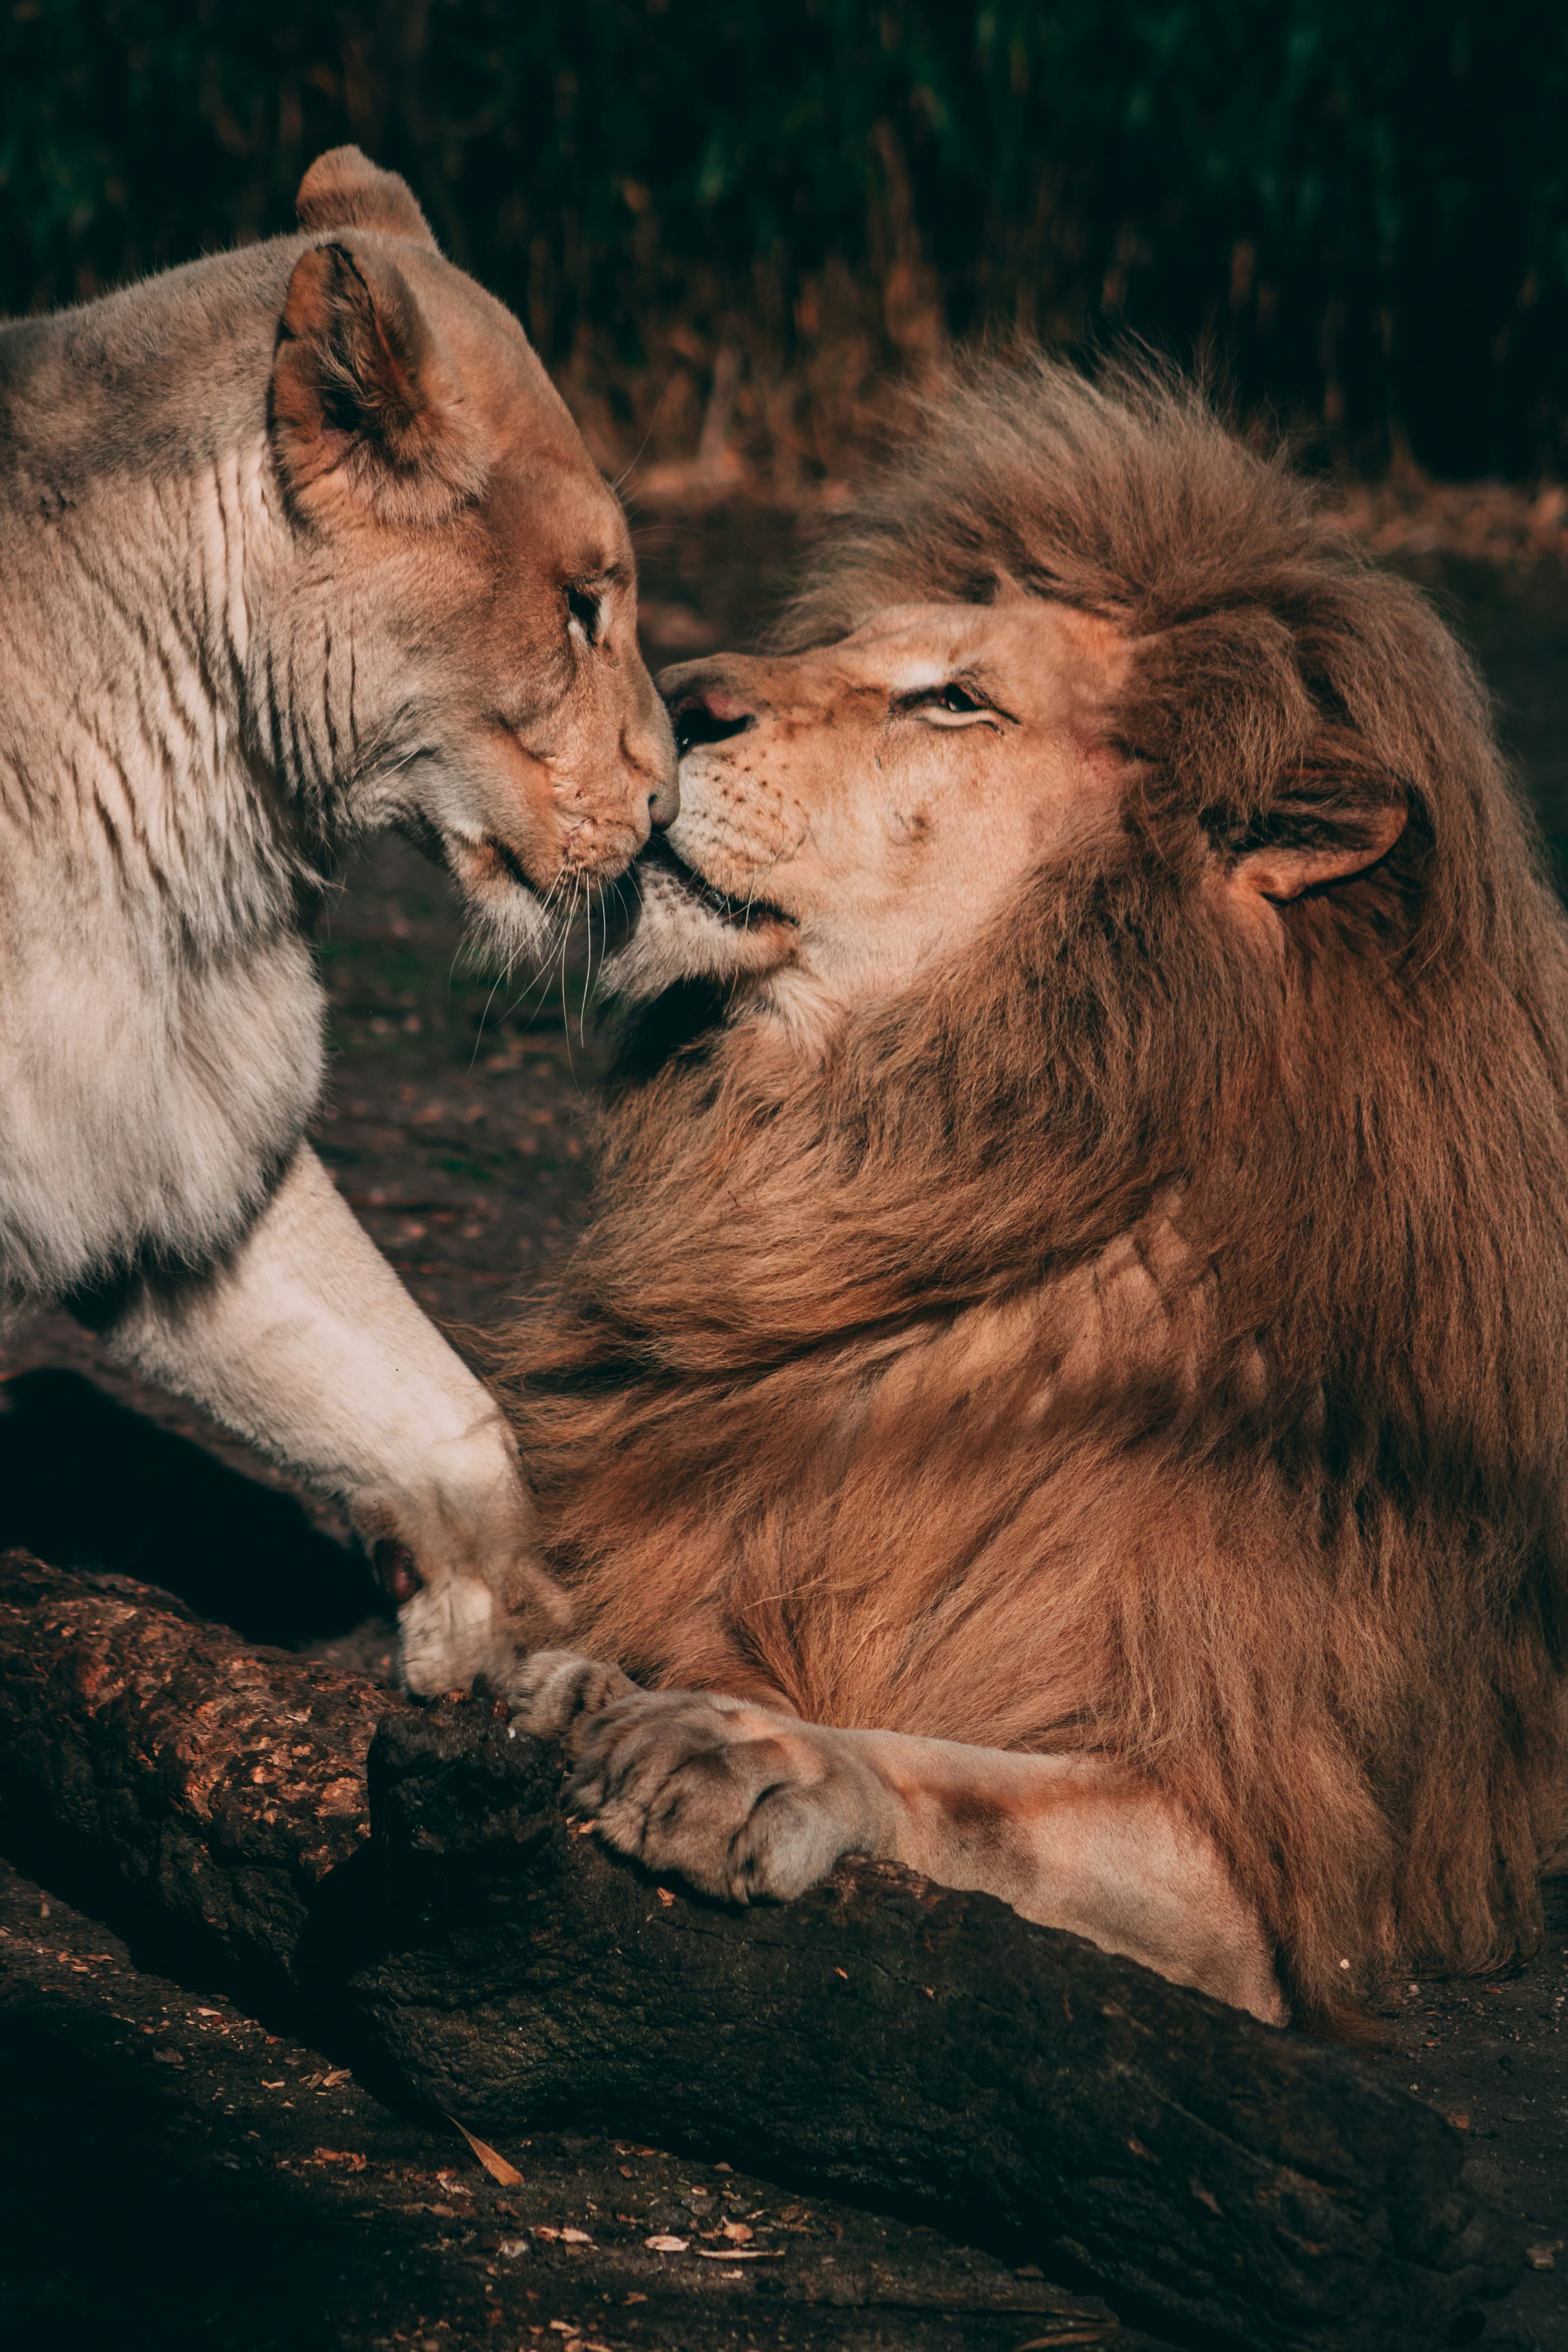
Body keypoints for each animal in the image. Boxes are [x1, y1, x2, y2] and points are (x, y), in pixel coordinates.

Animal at [501, 362, 1568, 2022]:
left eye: (955, 697)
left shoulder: (1261, 1860)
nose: (669, 694)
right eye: (846, 646)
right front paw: (580, 1680)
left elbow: (965, 1780)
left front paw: (740, 1750)